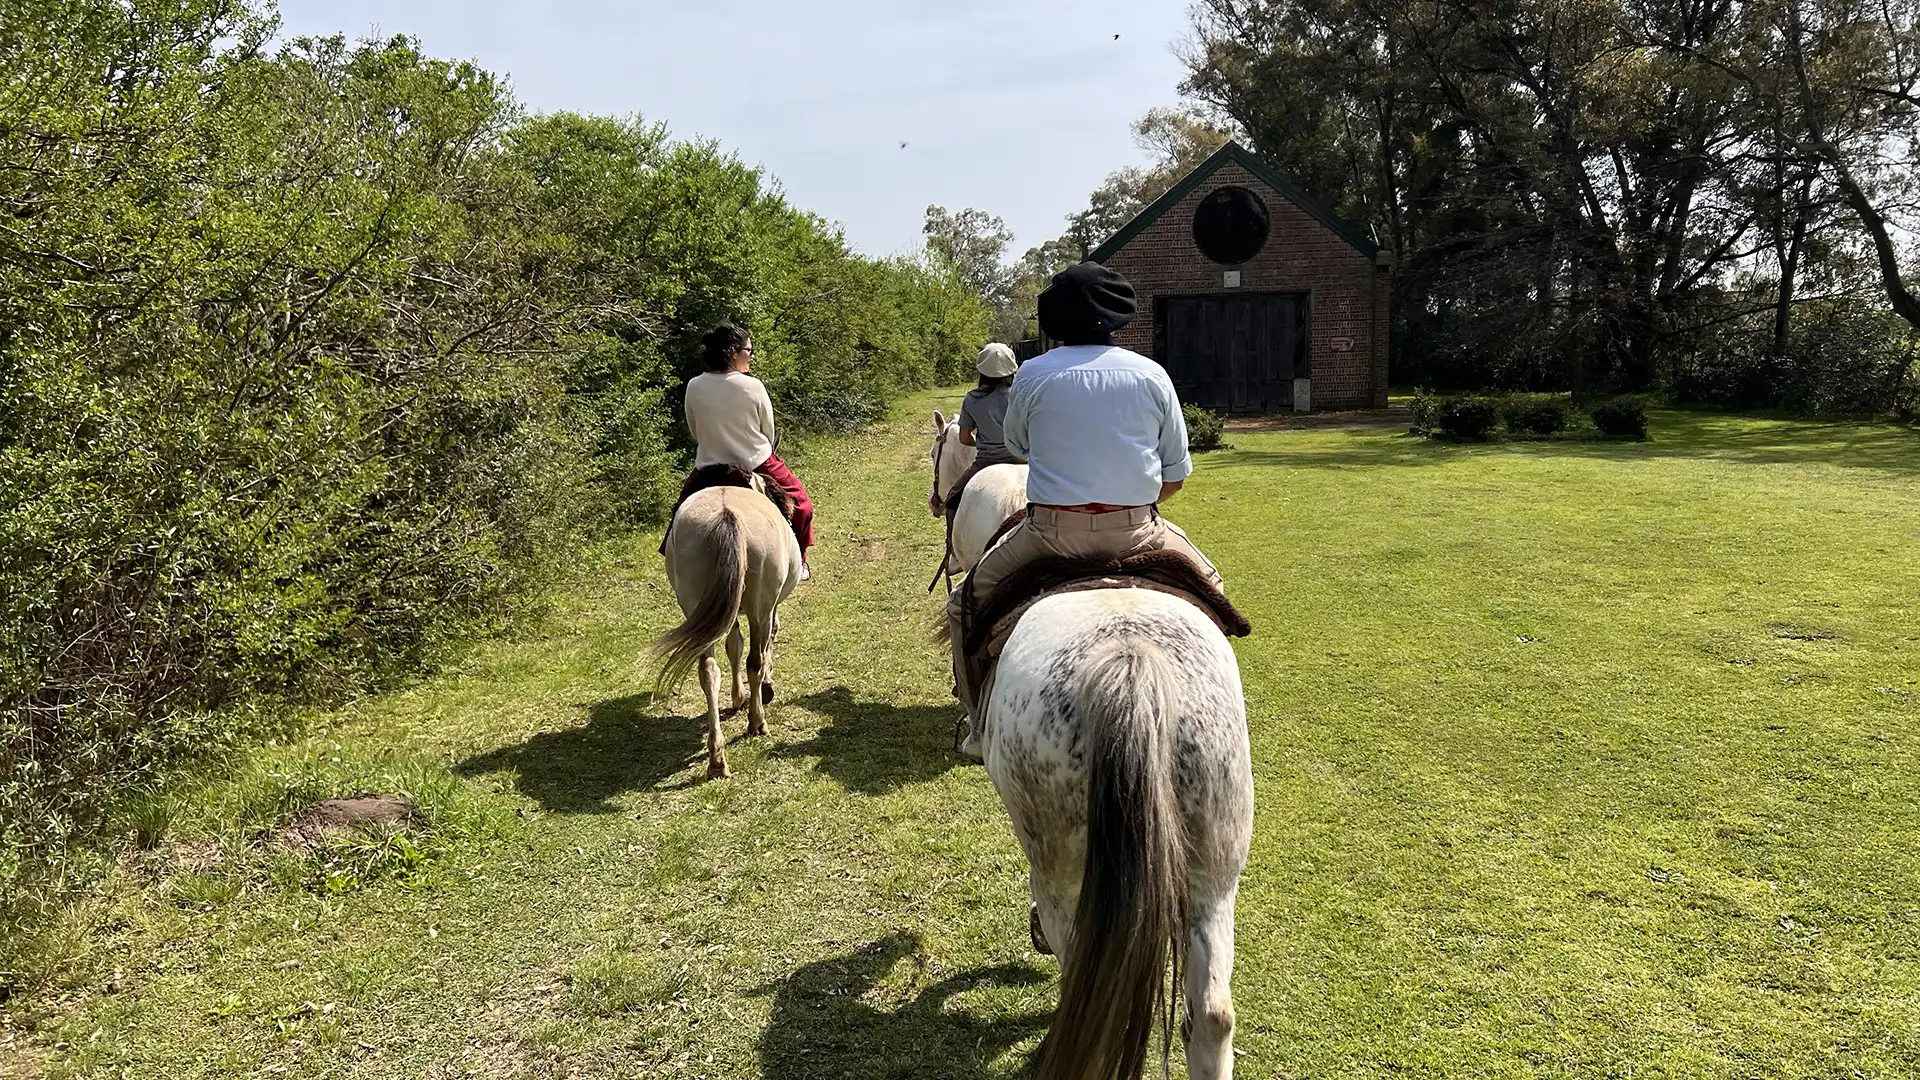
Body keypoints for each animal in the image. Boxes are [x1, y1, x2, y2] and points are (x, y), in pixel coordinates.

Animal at [652, 476, 802, 772]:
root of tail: (726, 514)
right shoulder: (769, 609)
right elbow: (765, 643)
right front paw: (764, 689)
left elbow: (734, 646)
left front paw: (738, 696)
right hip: (760, 607)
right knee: (754, 661)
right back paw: (757, 722)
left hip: (695, 604)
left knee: (708, 672)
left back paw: (717, 757)